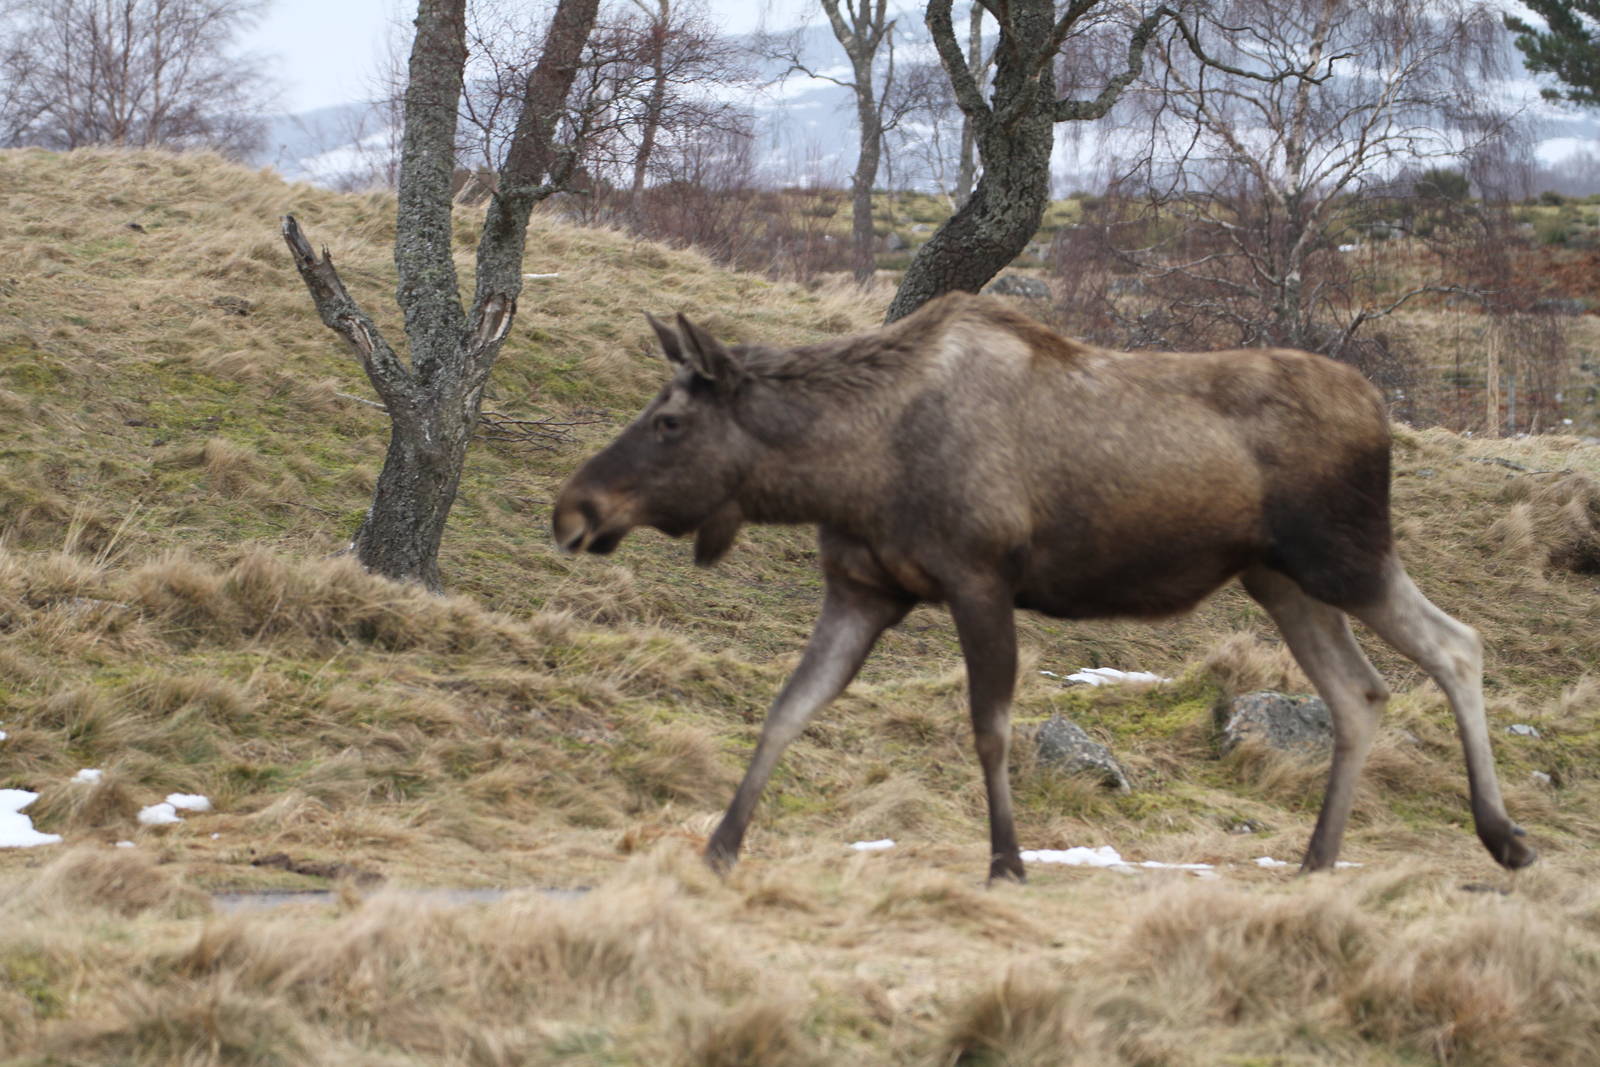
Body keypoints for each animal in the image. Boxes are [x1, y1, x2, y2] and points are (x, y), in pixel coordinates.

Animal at [552, 292, 1536, 882]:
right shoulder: (862, 590)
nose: (573, 509)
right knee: (1360, 691)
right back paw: (1318, 857)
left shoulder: (980, 577)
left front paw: (1007, 859)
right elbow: (786, 709)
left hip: (1346, 555)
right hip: (1279, 578)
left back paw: (1504, 835)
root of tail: (1381, 408)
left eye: (669, 420)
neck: (846, 470)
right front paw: (720, 844)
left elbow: (990, 727)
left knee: (1457, 644)